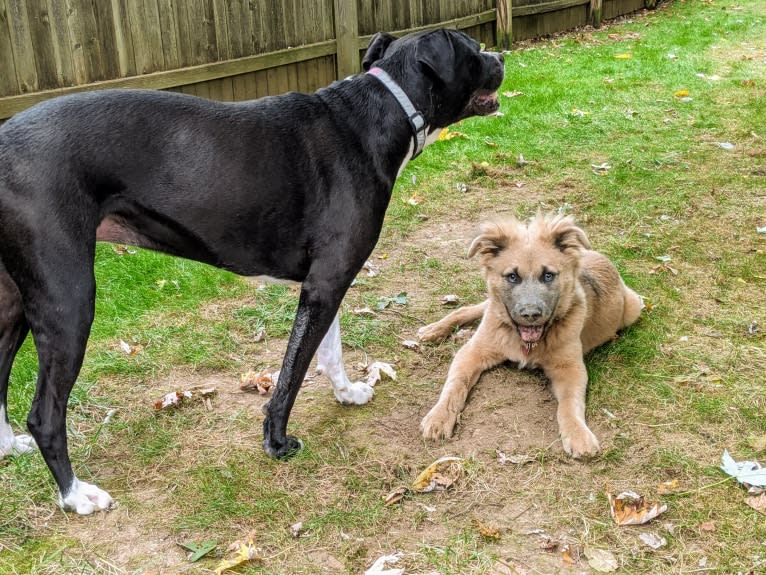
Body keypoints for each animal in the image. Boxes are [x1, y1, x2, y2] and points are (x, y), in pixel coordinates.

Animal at [0, 28, 508, 512]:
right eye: (472, 49)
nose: (501, 56)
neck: (382, 110)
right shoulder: (324, 285)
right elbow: (292, 372)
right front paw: (277, 442)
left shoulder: (327, 282)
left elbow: (329, 352)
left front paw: (346, 394)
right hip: (68, 300)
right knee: (45, 415)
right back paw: (75, 495)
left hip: (15, 304)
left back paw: (9, 448)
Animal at [416, 213, 644, 460]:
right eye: (513, 276)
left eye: (548, 275)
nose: (531, 314)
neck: (526, 343)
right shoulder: (472, 352)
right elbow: (454, 385)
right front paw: (439, 417)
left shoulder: (570, 369)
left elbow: (569, 405)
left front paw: (578, 435)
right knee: (472, 308)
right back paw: (434, 330)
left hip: (634, 308)